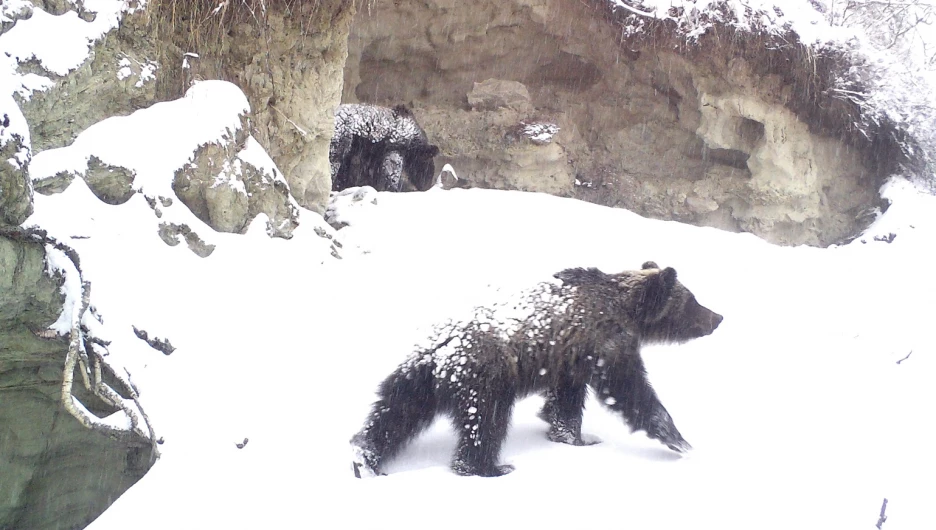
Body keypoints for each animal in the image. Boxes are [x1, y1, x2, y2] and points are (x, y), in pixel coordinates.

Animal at [352, 262, 724, 476]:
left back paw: (364, 456)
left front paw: (572, 436)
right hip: (487, 377)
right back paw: (490, 467)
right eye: (692, 301)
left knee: (394, 413)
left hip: (417, 379)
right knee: (486, 423)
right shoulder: (605, 346)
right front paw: (680, 442)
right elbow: (630, 392)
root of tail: (440, 352)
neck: (626, 309)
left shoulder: (571, 359)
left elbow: (566, 402)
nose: (718, 317)